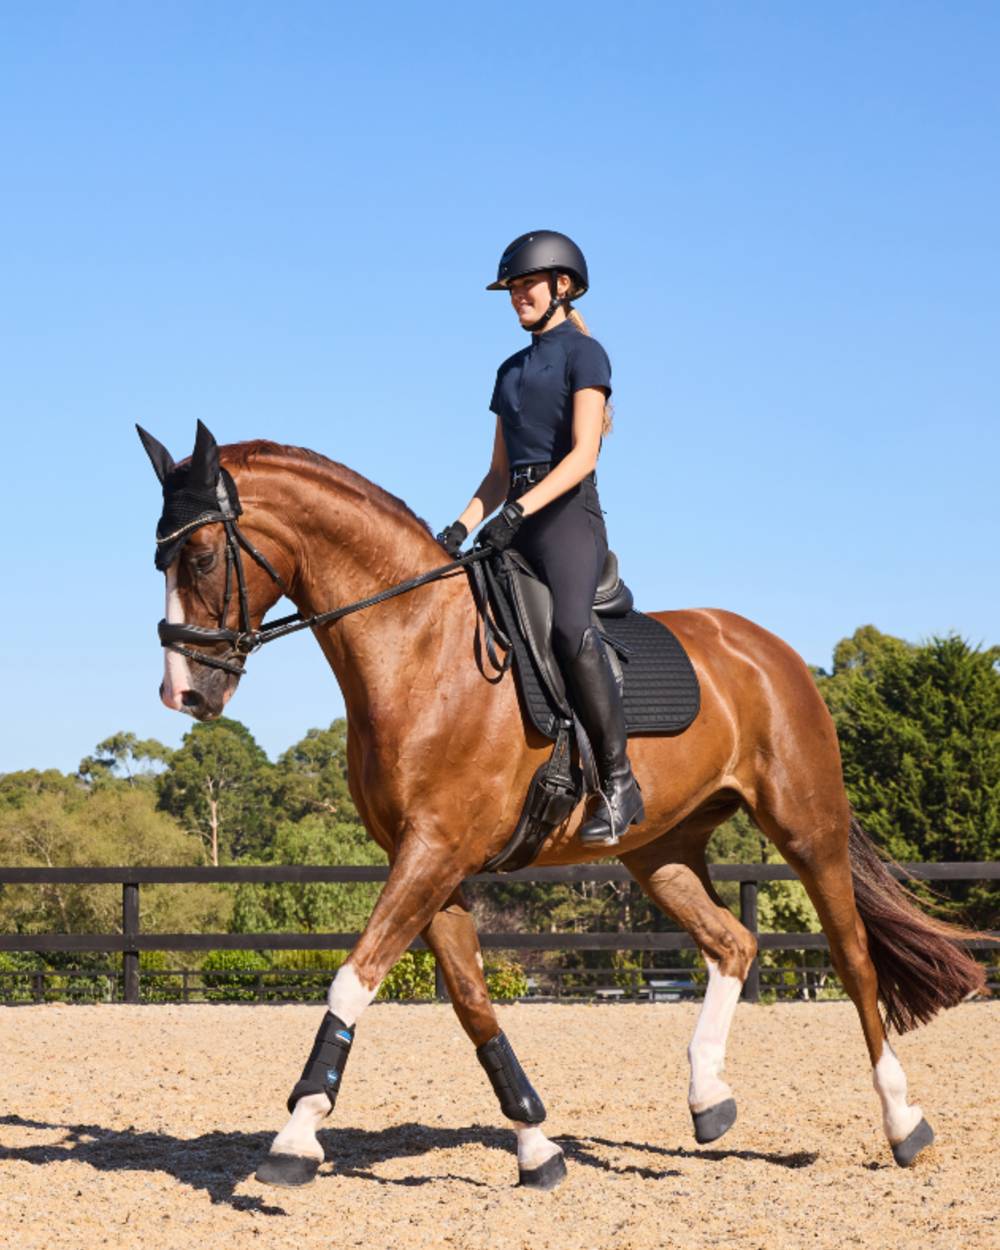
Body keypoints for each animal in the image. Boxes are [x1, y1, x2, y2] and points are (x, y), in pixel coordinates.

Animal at [138, 421, 984, 1189]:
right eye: (159, 560)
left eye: (202, 556)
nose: (184, 694)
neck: (418, 647)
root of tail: (771, 650)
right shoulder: (432, 863)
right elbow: (472, 1003)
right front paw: (537, 1148)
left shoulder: (434, 850)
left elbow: (353, 978)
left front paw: (295, 1136)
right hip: (661, 852)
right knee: (733, 944)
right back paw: (708, 1098)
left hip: (807, 829)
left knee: (853, 960)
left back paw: (903, 1123)